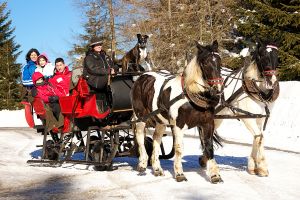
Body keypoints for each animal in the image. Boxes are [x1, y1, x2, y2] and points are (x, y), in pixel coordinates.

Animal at [130, 40, 224, 183]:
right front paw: (179, 173)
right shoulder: (178, 125)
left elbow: (209, 147)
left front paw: (215, 175)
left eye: (219, 60)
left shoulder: (207, 123)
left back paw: (157, 168)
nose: (217, 88)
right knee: (140, 137)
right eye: (205, 63)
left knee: (156, 139)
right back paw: (142, 164)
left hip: (160, 121)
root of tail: (142, 77)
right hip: (141, 117)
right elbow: (179, 148)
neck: (190, 95)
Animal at [213, 40, 278, 177]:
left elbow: (259, 137)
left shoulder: (259, 118)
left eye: (277, 57)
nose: (272, 81)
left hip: (217, 118)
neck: (259, 92)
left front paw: (254, 167)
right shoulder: (248, 118)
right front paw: (261, 166)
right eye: (263, 56)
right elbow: (259, 137)